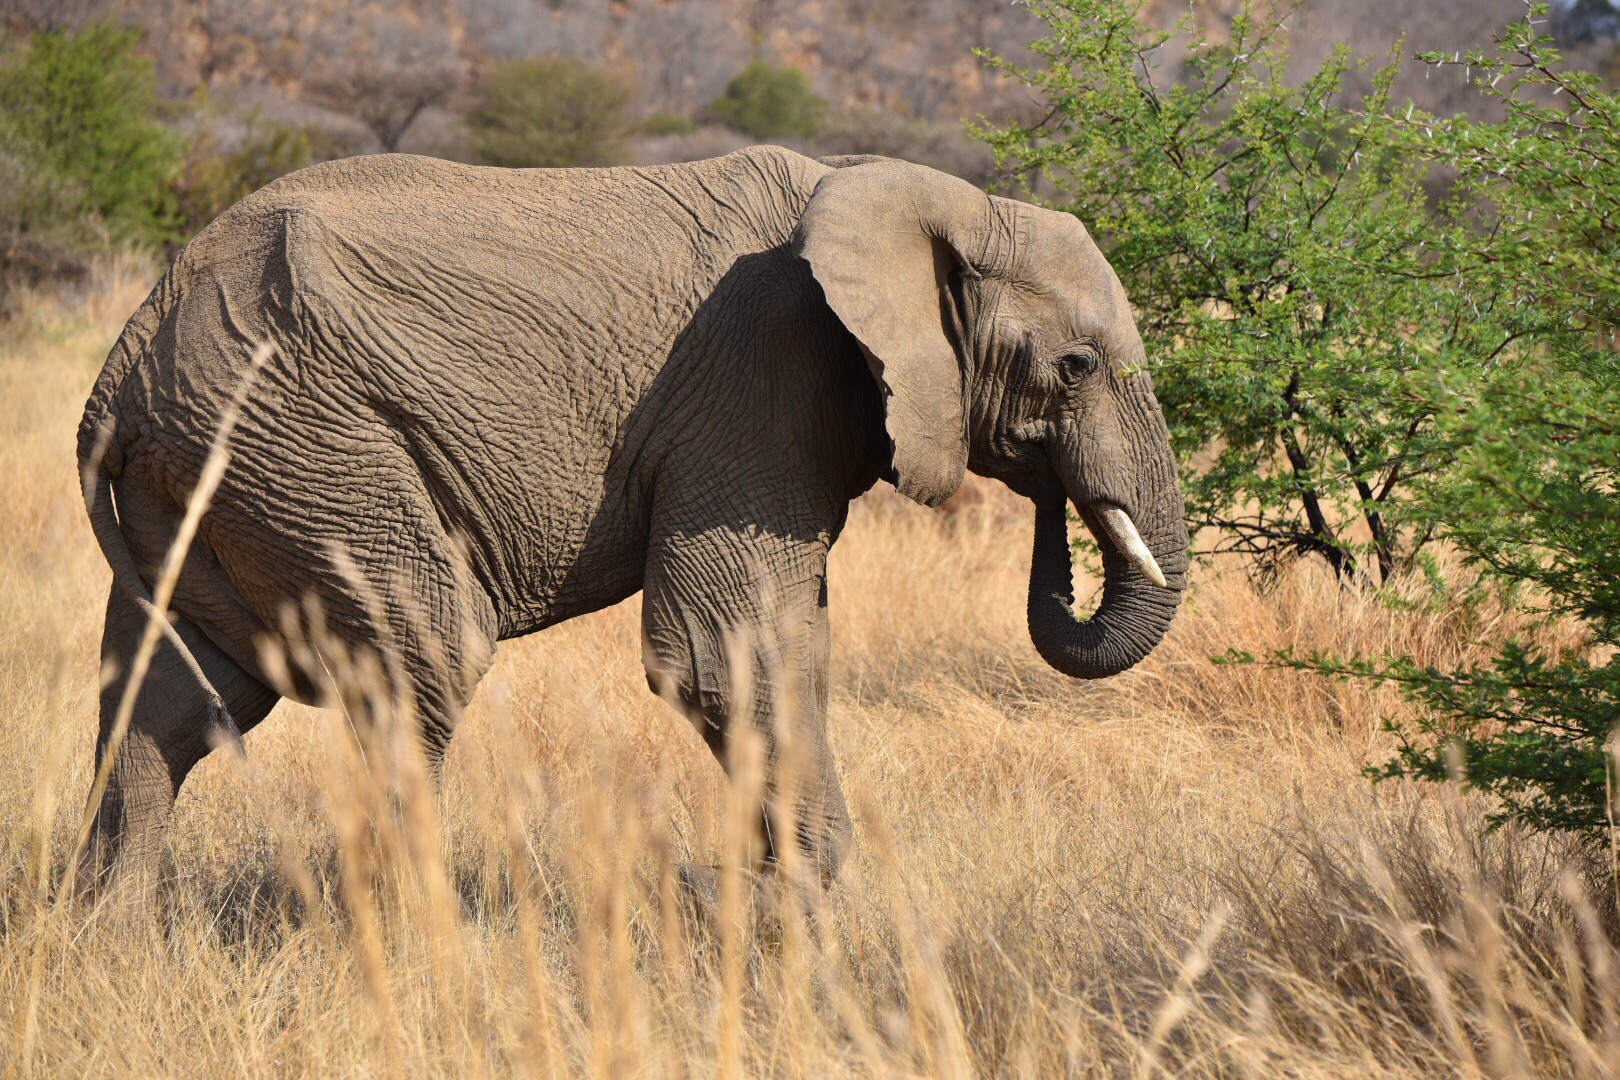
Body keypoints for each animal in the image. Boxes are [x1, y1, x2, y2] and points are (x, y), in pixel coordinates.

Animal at [76, 148, 1192, 900]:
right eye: (1076, 367)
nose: (1050, 494)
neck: (918, 195)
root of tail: (124, 361)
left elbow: (789, 644)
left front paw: (785, 892)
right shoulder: (753, 390)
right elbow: (716, 651)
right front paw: (805, 898)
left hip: (217, 472)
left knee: (173, 696)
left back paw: (111, 934)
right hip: (299, 439)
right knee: (420, 659)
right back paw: (425, 933)